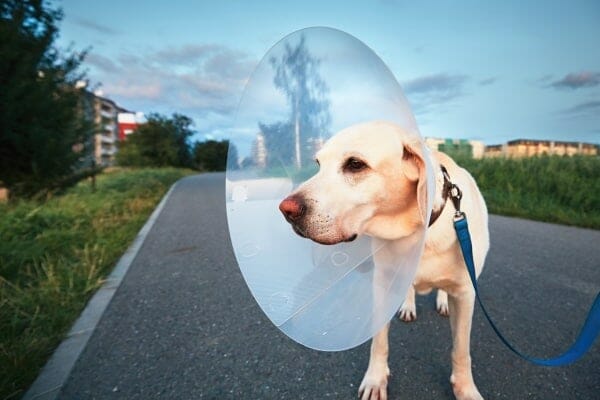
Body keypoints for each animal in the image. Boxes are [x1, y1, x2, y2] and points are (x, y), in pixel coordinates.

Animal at [278, 121, 490, 400]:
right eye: (318, 164)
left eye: (355, 164)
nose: (286, 211)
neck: (417, 234)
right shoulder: (383, 285)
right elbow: (379, 342)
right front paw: (375, 379)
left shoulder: (466, 294)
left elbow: (461, 349)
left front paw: (465, 389)